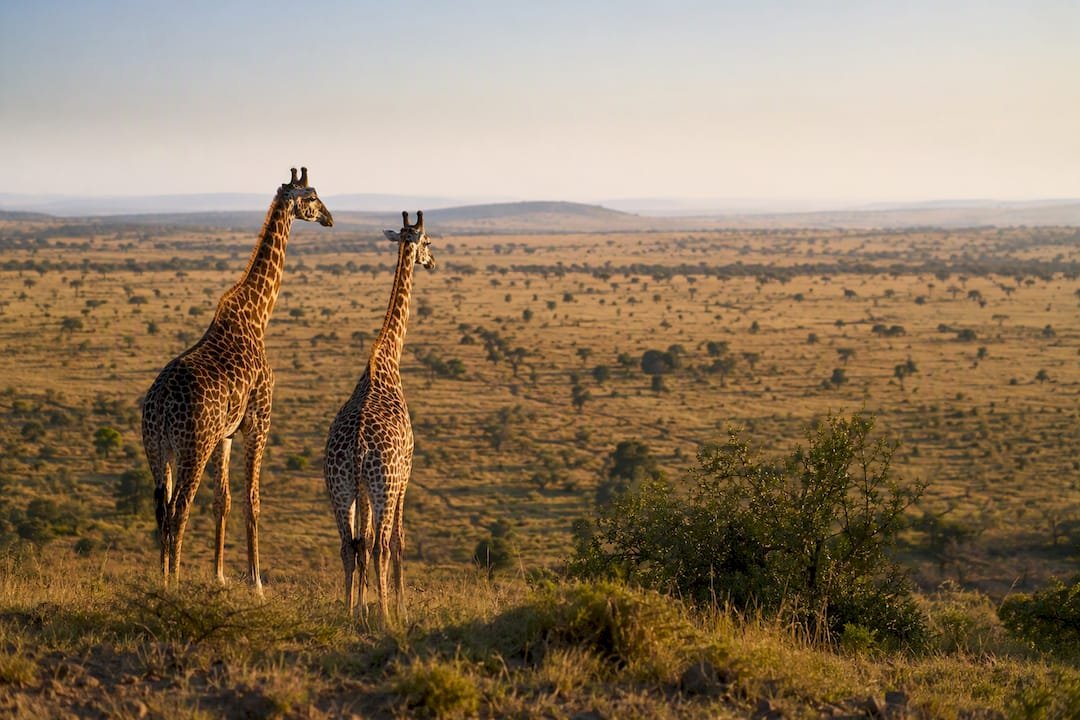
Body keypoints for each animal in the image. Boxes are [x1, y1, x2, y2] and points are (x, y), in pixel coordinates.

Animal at [141, 167, 333, 593]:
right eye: (312, 196)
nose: (330, 218)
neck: (258, 314)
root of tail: (159, 404)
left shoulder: (227, 434)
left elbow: (223, 500)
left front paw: (220, 576)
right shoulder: (259, 420)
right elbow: (252, 500)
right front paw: (256, 582)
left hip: (156, 449)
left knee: (161, 510)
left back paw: (160, 581)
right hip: (192, 447)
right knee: (179, 508)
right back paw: (174, 583)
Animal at [324, 210, 435, 624]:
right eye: (428, 242)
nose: (432, 262)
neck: (386, 358)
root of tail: (357, 447)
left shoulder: (364, 490)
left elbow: (363, 539)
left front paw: (360, 603)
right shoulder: (405, 475)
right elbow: (398, 542)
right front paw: (399, 606)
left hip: (340, 487)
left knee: (350, 544)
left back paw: (347, 611)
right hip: (383, 485)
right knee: (380, 546)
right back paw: (386, 616)